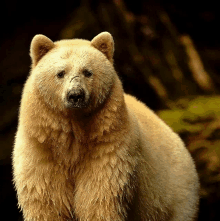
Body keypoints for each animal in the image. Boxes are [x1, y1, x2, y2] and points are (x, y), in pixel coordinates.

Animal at [12, 31, 200, 221]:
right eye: (60, 73)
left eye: (87, 72)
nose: (75, 95)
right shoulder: (41, 151)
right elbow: (47, 201)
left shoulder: (108, 149)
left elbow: (99, 199)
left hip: (175, 194)